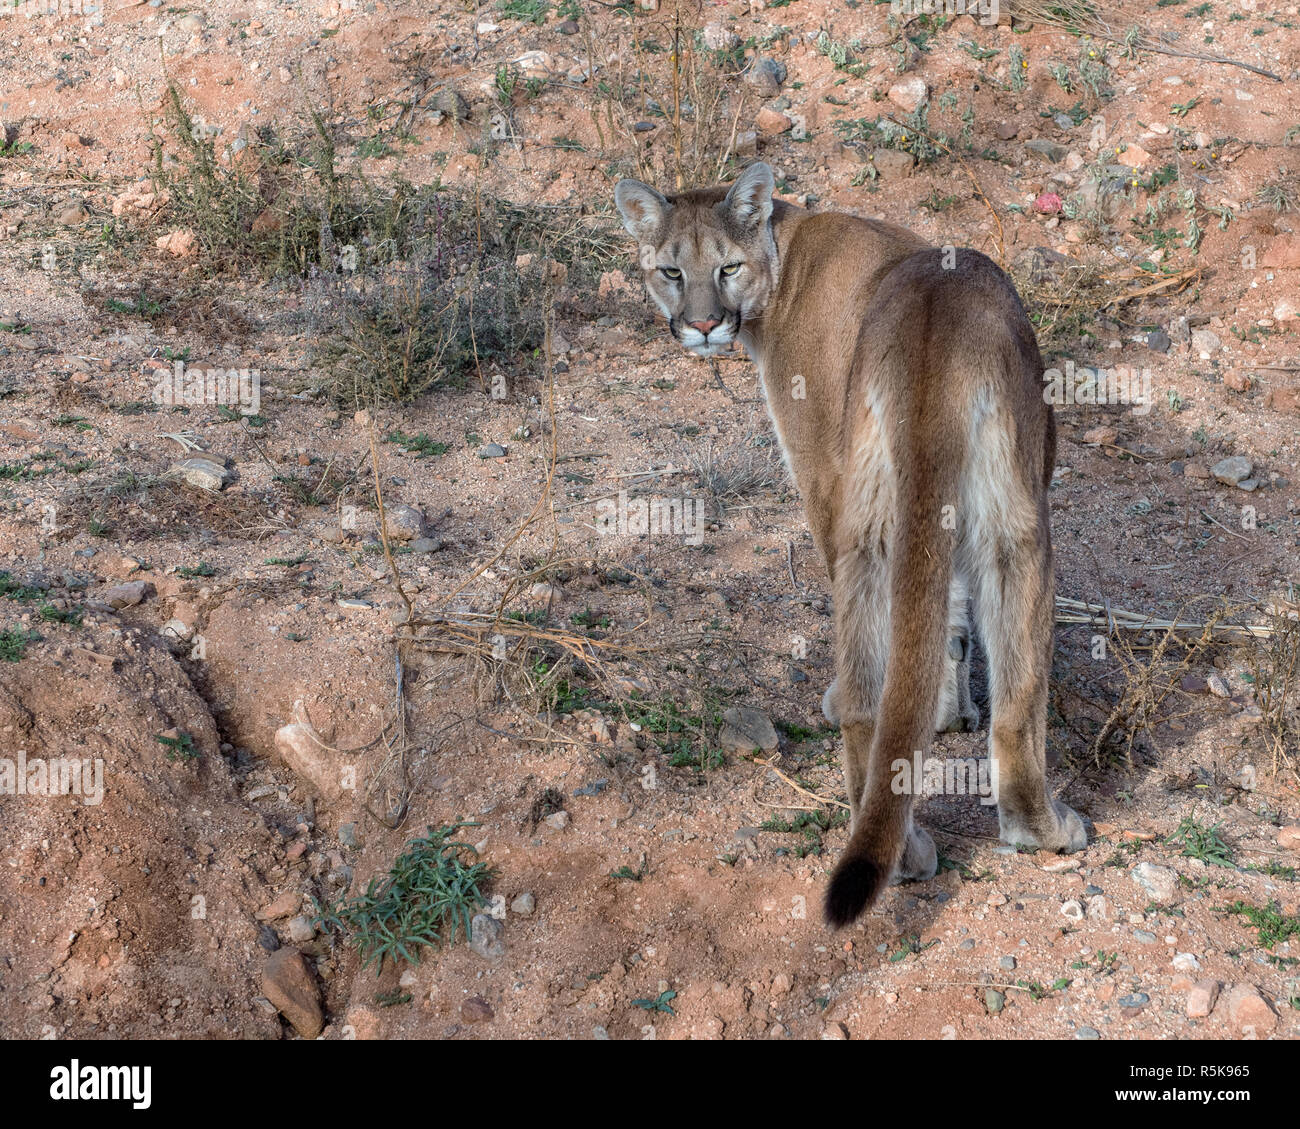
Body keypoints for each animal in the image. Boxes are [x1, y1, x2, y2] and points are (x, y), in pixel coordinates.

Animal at [616, 161, 1086, 926]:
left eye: (726, 267)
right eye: (669, 271)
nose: (704, 324)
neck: (783, 251)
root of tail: (937, 316)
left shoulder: (817, 470)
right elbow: (946, 623)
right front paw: (949, 712)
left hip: (876, 513)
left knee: (875, 695)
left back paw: (916, 849)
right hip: (1003, 514)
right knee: (1013, 696)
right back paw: (1032, 830)